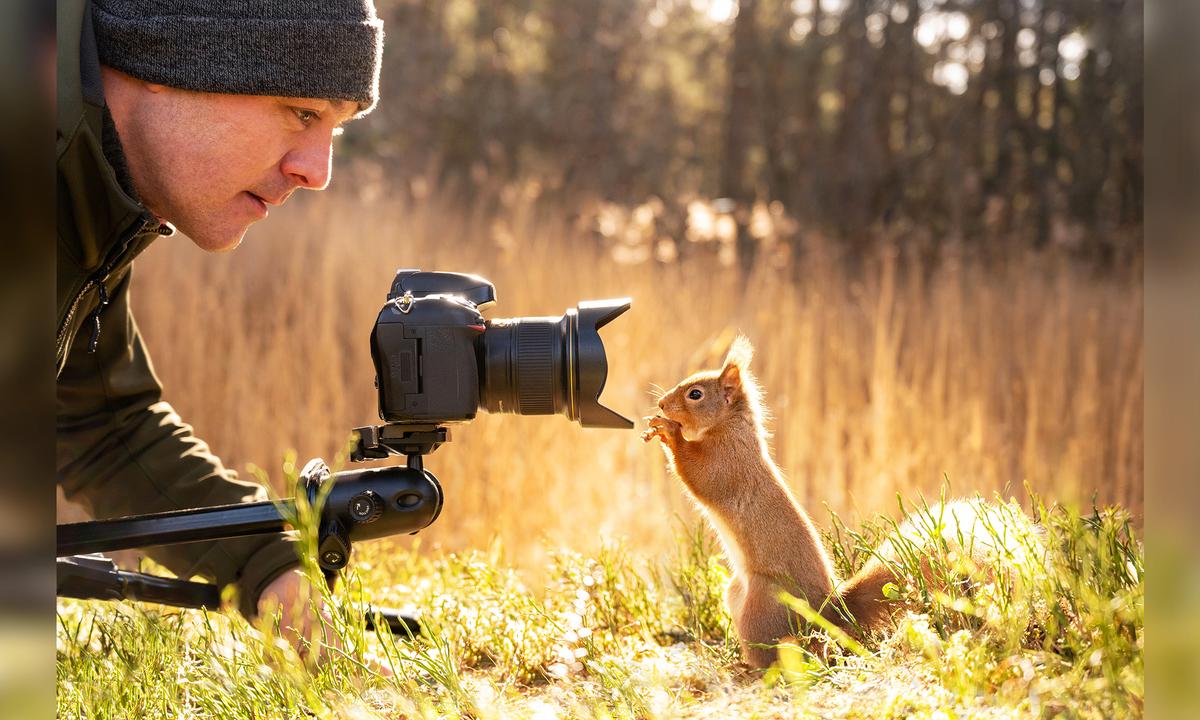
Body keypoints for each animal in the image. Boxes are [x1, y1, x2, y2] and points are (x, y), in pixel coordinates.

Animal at [642, 336, 1031, 668]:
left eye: (695, 394)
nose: (661, 404)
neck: (730, 430)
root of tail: (829, 614)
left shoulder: (727, 466)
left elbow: (699, 476)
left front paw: (669, 431)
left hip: (763, 606)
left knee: (777, 654)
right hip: (737, 595)